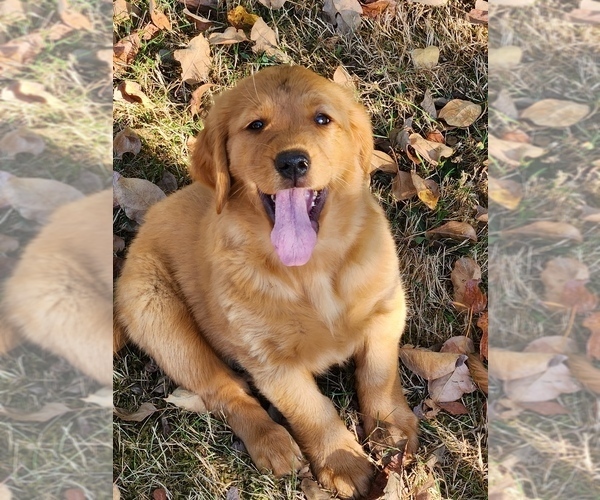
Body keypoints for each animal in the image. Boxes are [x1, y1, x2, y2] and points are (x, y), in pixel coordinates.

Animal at [116, 66, 418, 500]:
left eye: (322, 119)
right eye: (256, 125)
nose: (292, 162)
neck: (309, 271)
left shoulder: (387, 309)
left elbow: (379, 373)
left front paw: (391, 430)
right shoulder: (270, 363)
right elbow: (313, 410)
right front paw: (343, 462)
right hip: (159, 315)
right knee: (225, 390)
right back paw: (271, 441)